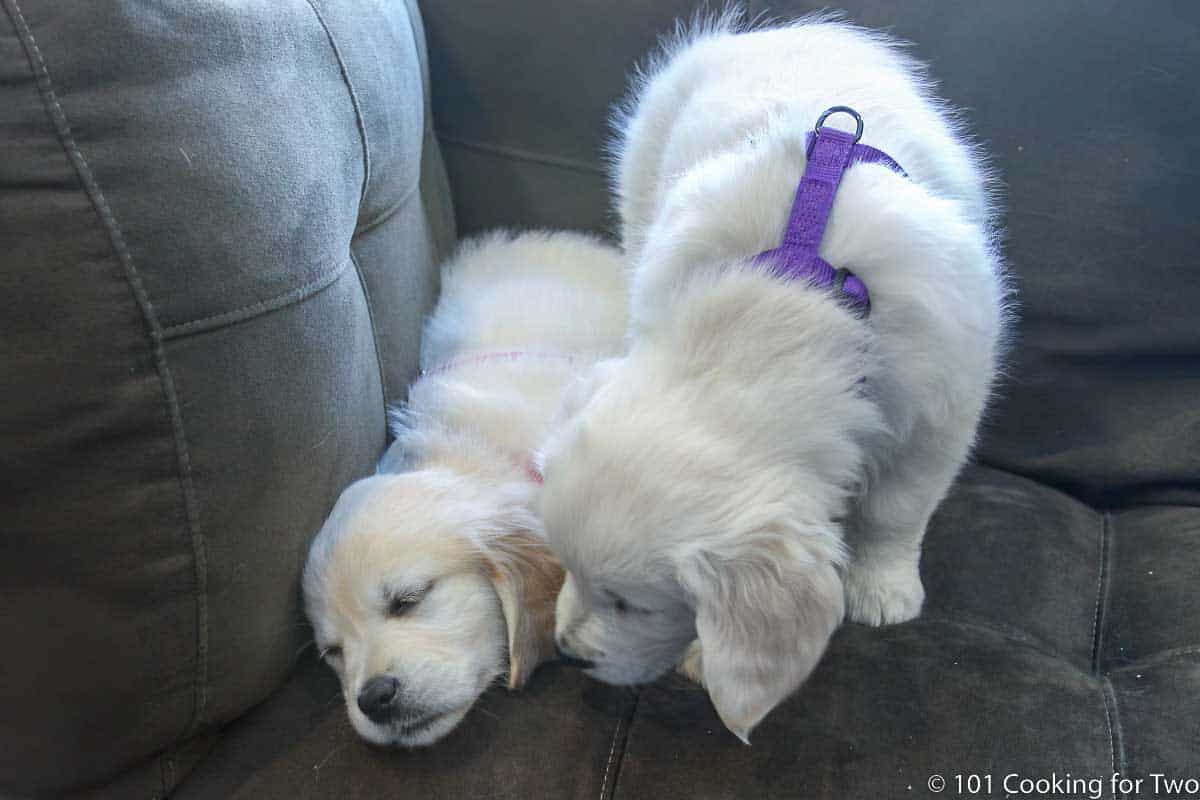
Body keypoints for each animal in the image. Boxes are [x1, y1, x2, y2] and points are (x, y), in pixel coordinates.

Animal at [540, 17, 1008, 743]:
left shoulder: (945, 404)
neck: (795, 290)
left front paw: (884, 586)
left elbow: (899, 506)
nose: (564, 655)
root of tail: (774, 32)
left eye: (632, 605)